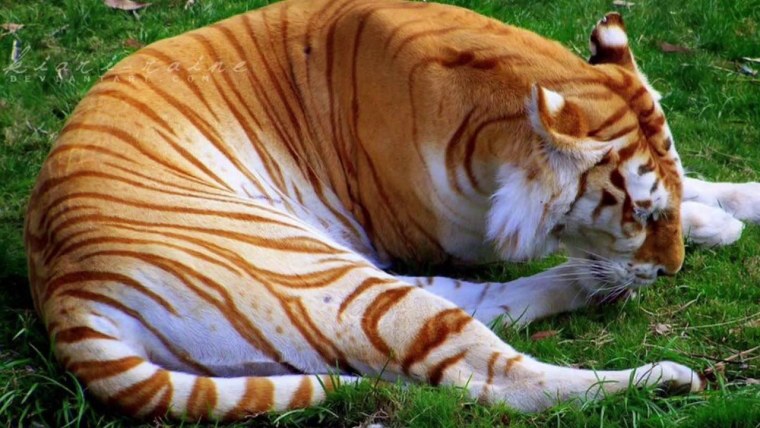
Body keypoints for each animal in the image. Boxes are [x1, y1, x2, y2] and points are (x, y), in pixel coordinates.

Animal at [24, 0, 760, 421]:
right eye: (639, 213)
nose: (670, 272)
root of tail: (65, 297)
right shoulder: (453, 230)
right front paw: (707, 228)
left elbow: (697, 180)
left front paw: (730, 206)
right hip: (324, 273)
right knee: (494, 379)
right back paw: (662, 379)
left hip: (341, 277)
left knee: (491, 309)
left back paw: (592, 290)